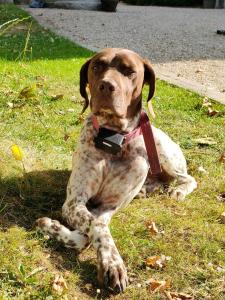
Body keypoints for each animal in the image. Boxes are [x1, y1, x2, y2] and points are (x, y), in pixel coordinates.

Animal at [37, 48, 197, 292]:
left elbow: (97, 226)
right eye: (97, 67)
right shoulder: (75, 201)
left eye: (129, 71)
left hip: (161, 151)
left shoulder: (109, 206)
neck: (112, 139)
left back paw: (178, 190)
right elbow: (93, 230)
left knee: (188, 178)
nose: (106, 86)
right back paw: (147, 190)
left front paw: (111, 263)